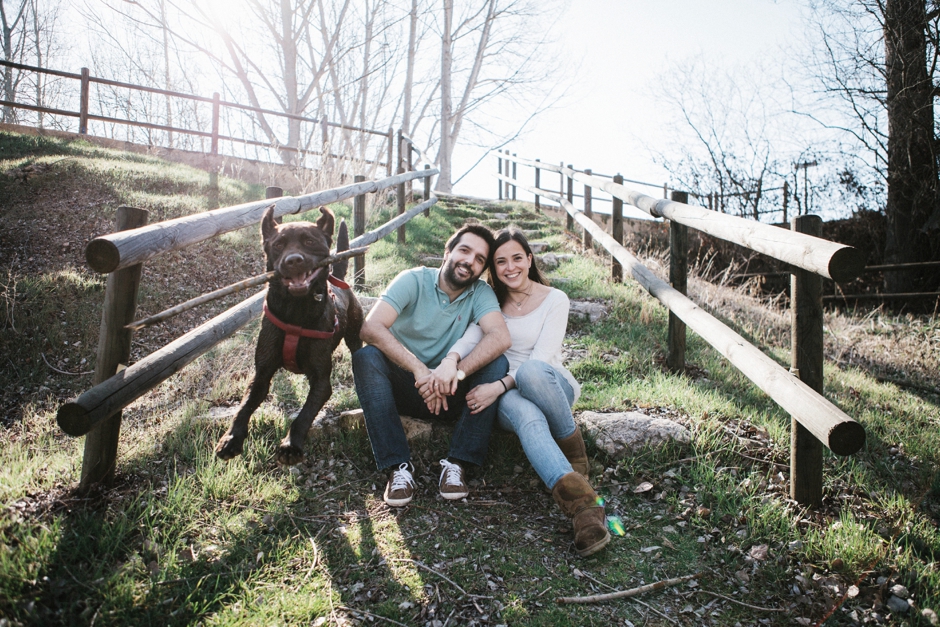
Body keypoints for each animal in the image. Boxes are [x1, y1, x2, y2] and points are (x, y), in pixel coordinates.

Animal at [217, 207, 364, 466]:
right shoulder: (261, 373)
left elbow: (304, 414)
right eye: (278, 245)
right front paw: (231, 438)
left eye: (309, 241)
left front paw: (290, 445)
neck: (296, 312)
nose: (293, 260)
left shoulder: (321, 381)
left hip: (355, 337)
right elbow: (244, 406)